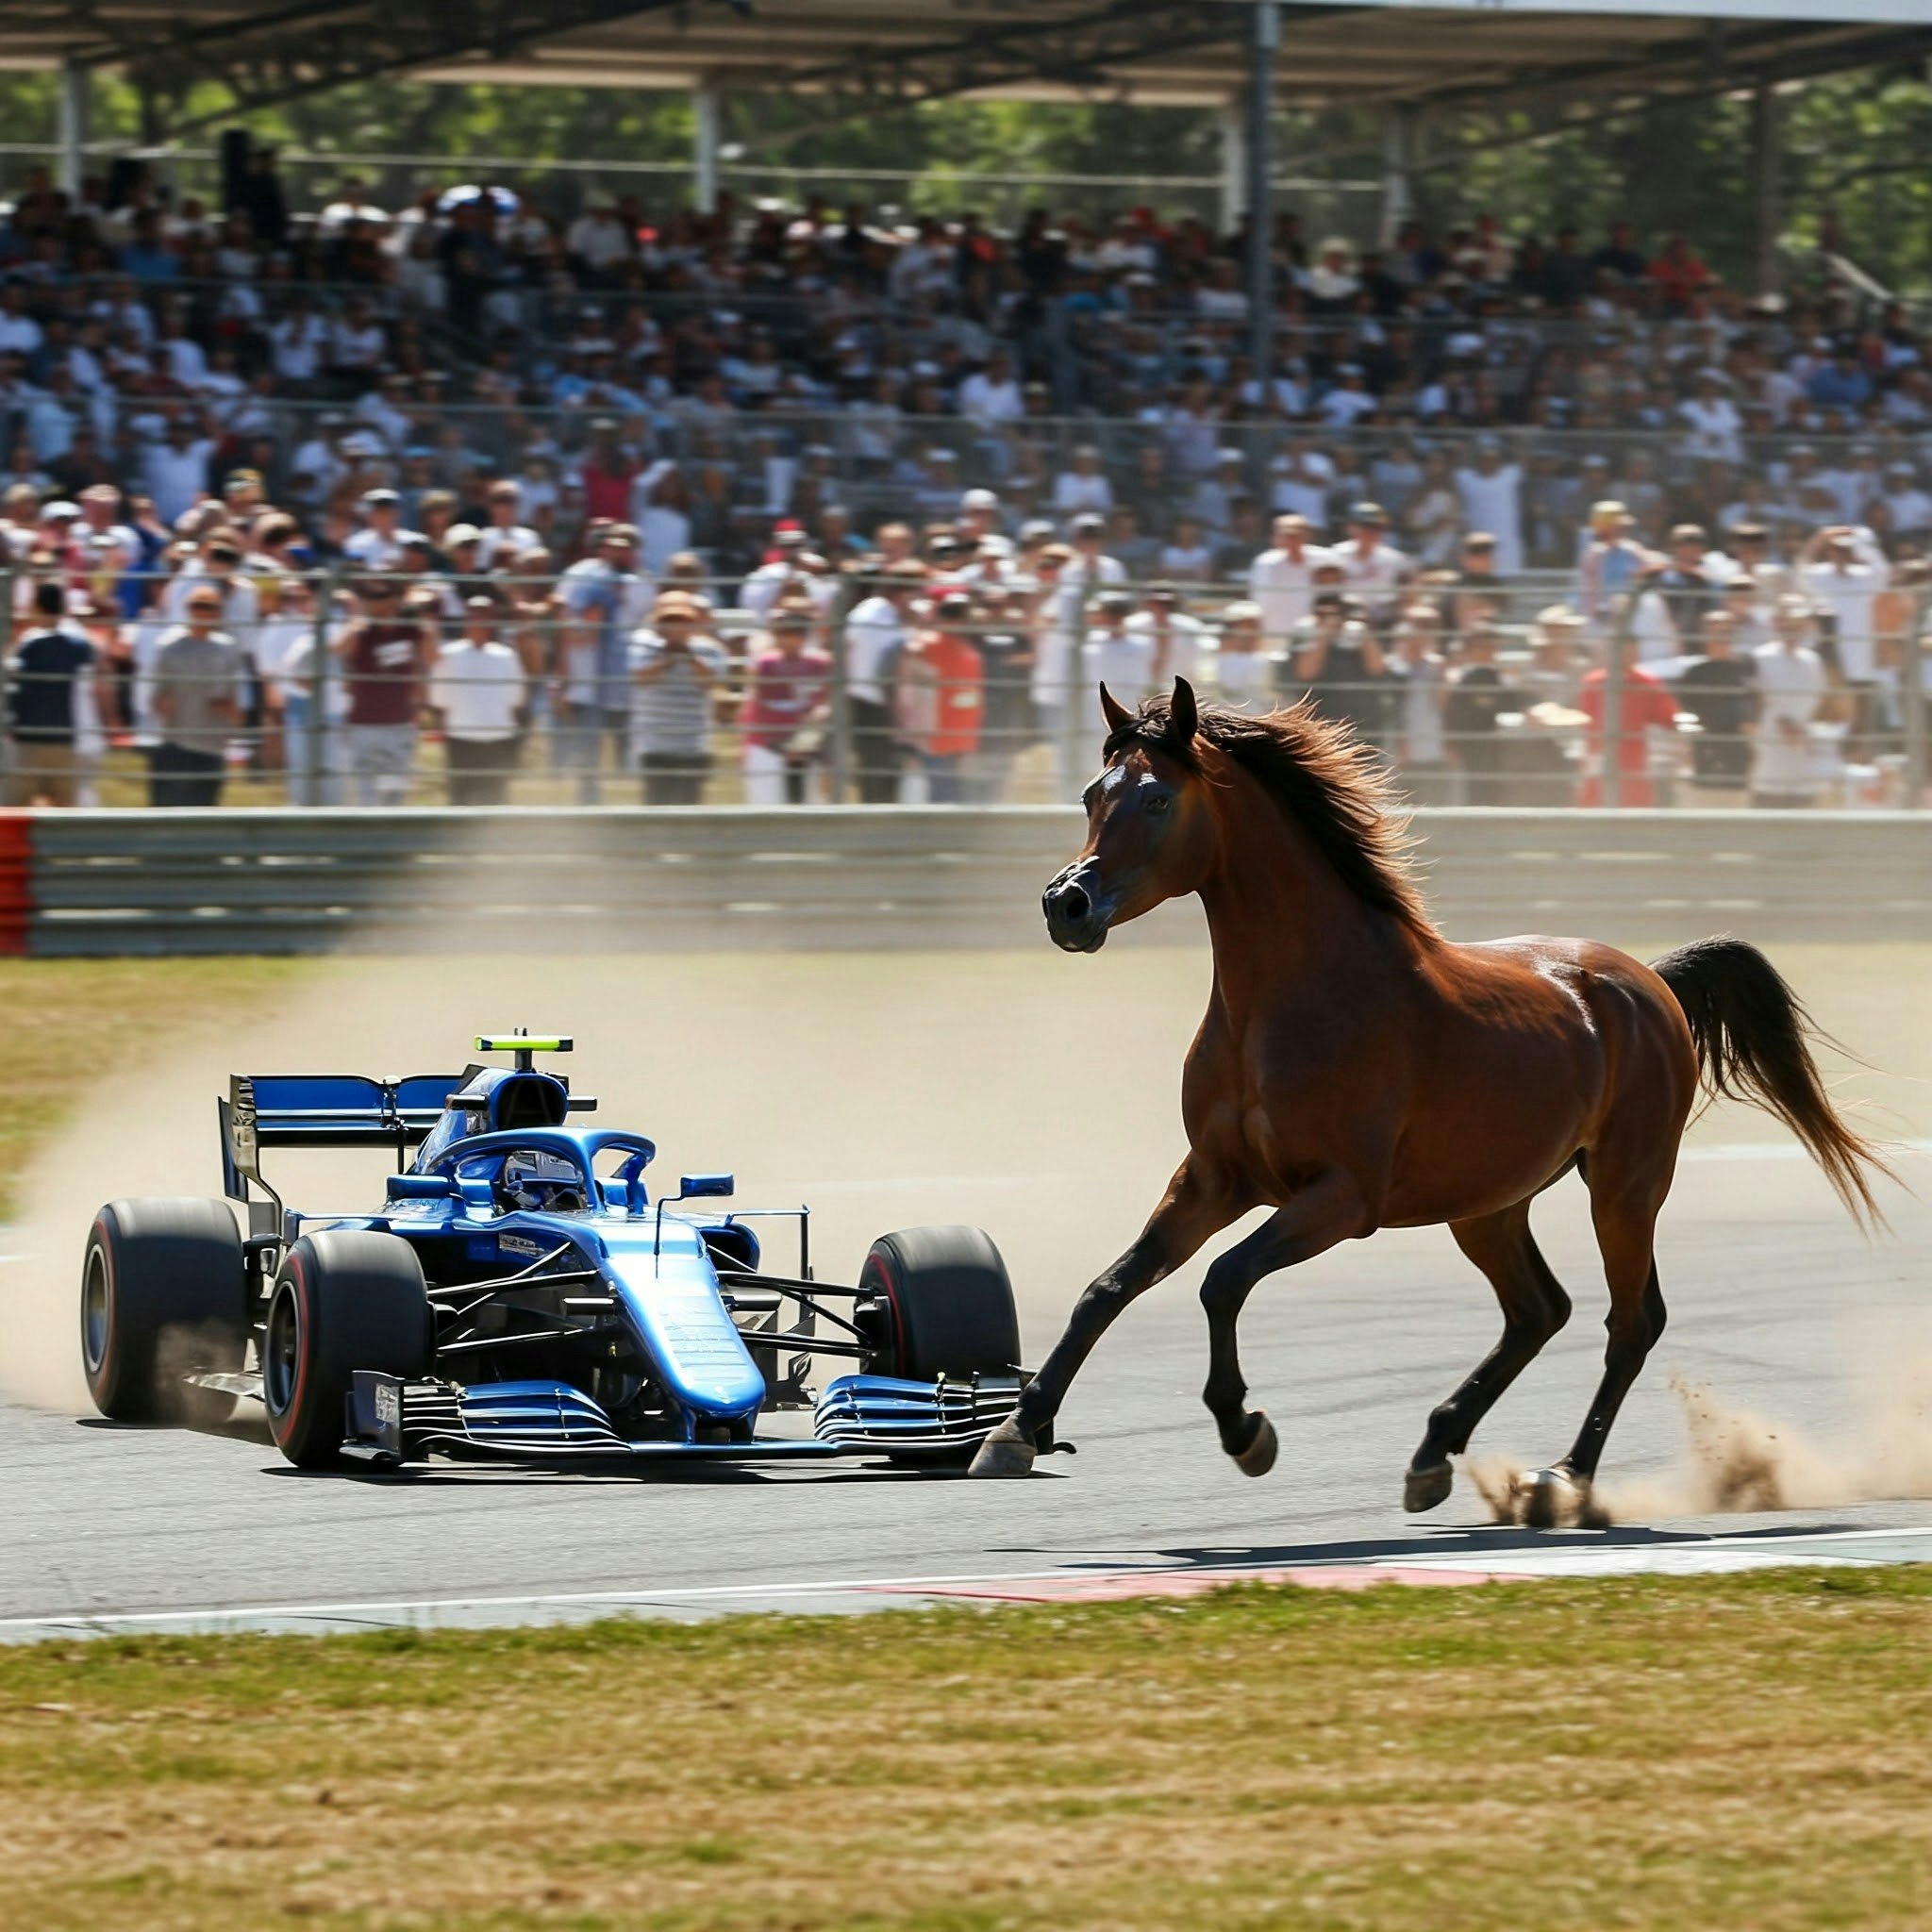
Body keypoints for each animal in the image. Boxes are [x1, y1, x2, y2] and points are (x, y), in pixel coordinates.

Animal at [969, 678, 1889, 1524]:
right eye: (1093, 794)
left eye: (1157, 797)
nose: (1066, 905)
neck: (1288, 1000)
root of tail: (1650, 983)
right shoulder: (1211, 1178)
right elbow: (1109, 1287)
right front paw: (1015, 1433)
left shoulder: (1340, 1197)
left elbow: (1222, 1282)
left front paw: (1247, 1432)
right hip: (1488, 1204)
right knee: (1539, 1311)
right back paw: (1433, 1455)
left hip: (1625, 1186)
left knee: (1630, 1323)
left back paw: (1558, 1481)